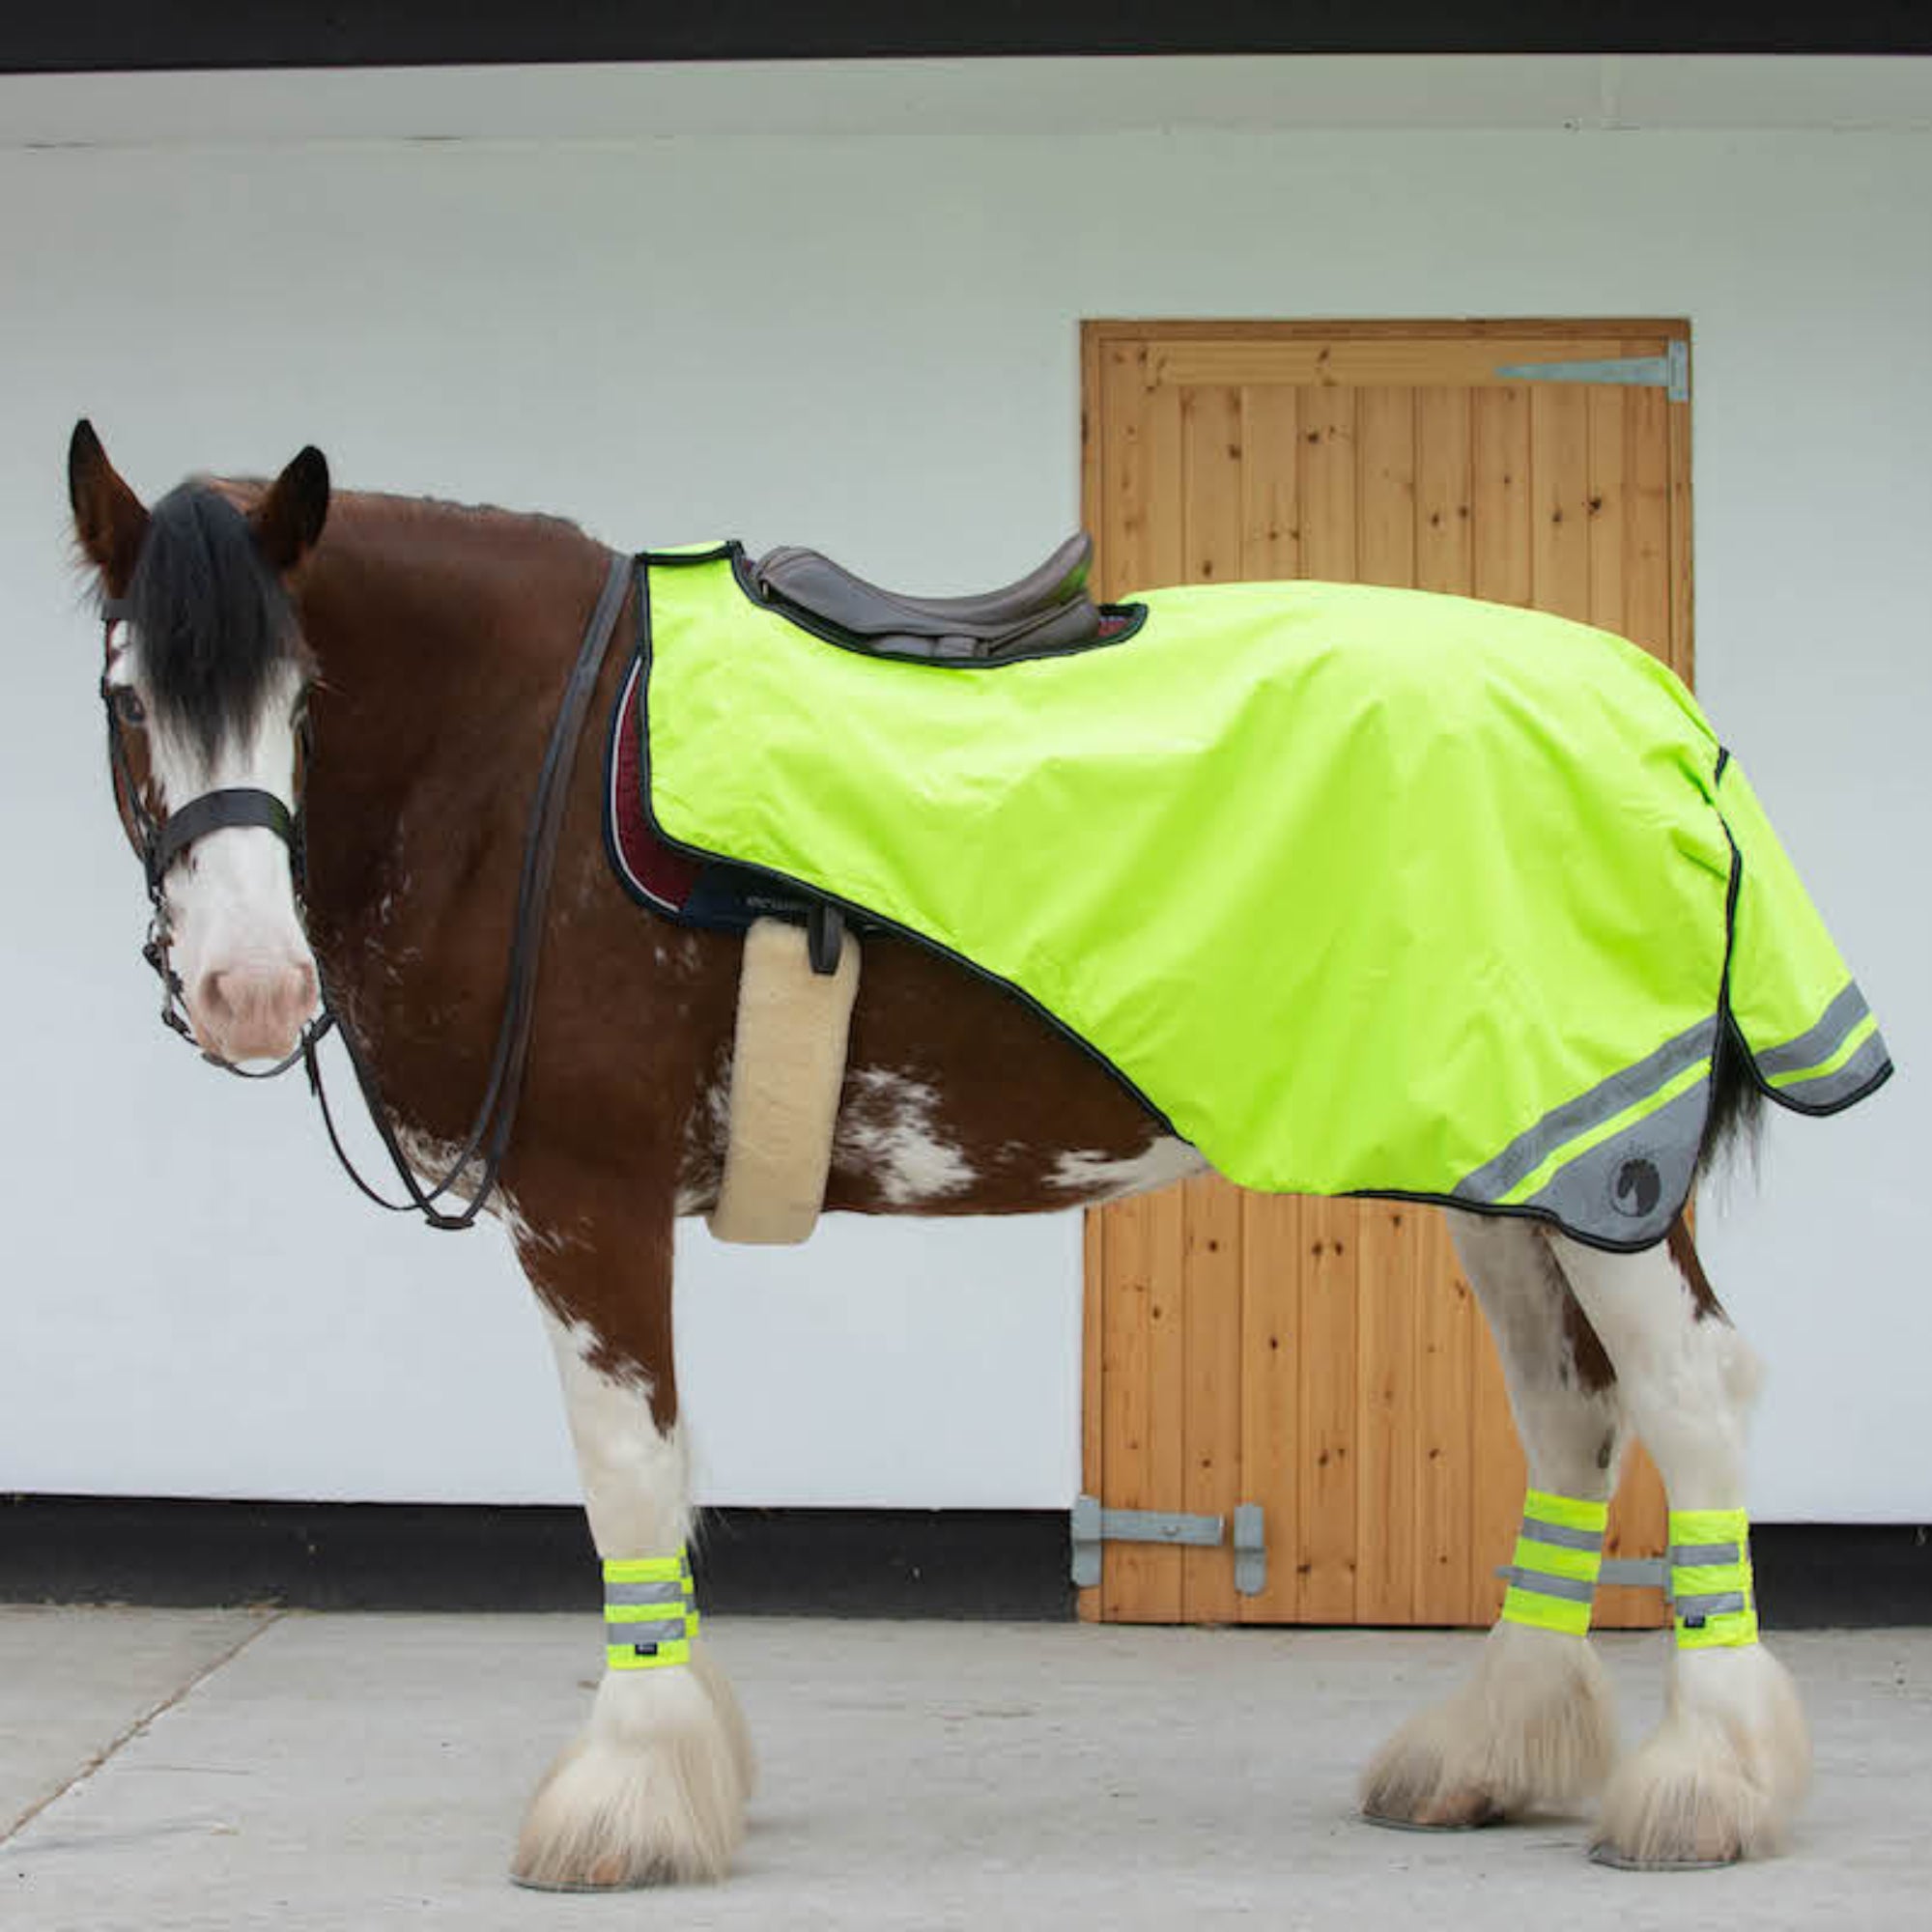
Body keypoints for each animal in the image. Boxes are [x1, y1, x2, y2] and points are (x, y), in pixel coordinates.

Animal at [68, 421, 1820, 1887]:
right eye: (125, 697)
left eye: (305, 697)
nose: (245, 988)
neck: (531, 768)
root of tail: (1661, 722)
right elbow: (673, 1483)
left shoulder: (586, 1202)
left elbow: (629, 1478)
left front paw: (629, 1795)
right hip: (1501, 1165)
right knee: (1573, 1415)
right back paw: (1494, 1750)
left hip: (1598, 1180)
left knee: (1689, 1397)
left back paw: (1710, 1782)